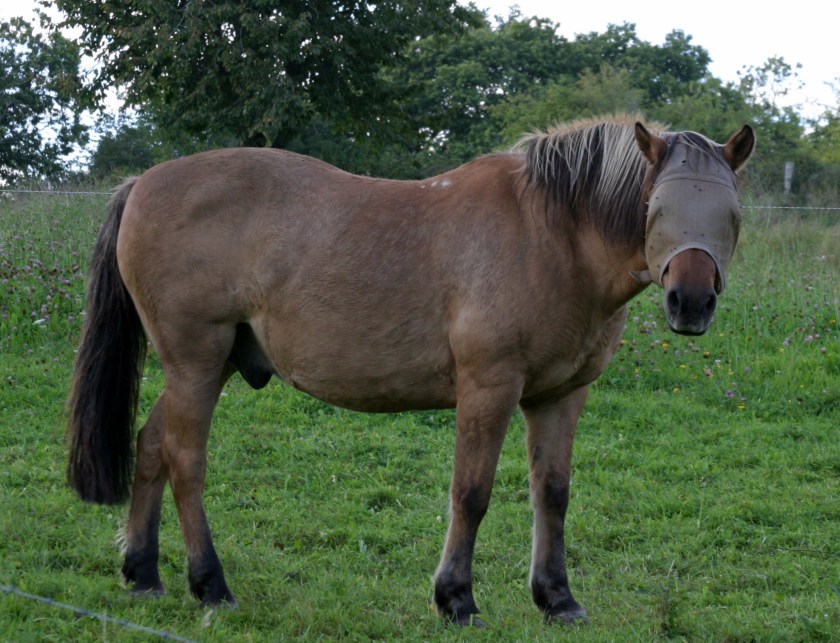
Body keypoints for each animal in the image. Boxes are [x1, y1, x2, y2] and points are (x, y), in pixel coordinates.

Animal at [67, 116, 754, 626]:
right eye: (656, 207)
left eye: (733, 214)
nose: (691, 301)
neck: (549, 234)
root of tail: (142, 184)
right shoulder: (488, 388)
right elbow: (471, 493)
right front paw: (457, 599)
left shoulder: (561, 396)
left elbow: (552, 493)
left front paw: (557, 598)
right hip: (196, 363)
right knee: (185, 461)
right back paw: (210, 585)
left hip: (208, 367)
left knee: (151, 446)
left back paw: (143, 573)